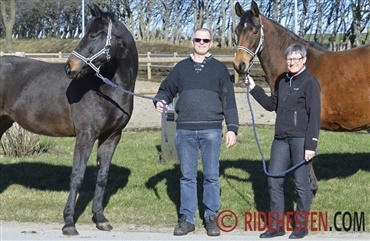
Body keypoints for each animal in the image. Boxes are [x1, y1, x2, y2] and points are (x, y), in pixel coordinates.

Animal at [0, 4, 138, 236]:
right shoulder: (86, 135)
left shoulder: (111, 137)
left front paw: (100, 219)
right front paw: (69, 223)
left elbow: (102, 177)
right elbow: (78, 176)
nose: (69, 67)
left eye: (93, 35)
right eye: (87, 33)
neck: (105, 90)